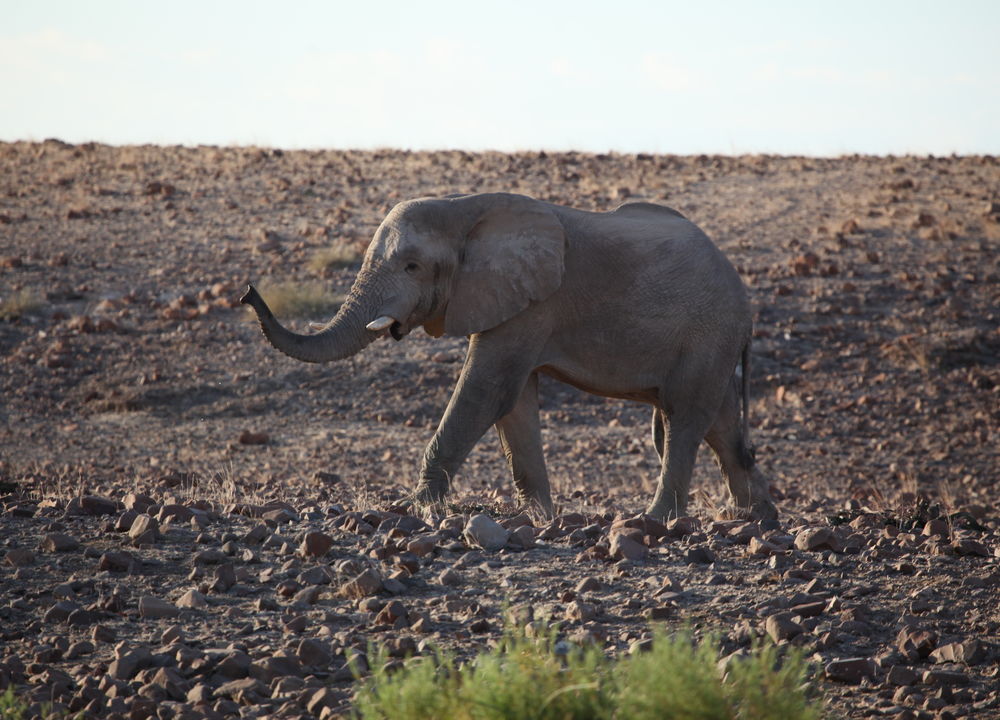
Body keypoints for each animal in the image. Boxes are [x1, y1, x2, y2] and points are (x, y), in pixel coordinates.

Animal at [241, 192, 779, 524]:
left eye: (412, 266)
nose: (247, 292)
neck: (463, 207)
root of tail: (743, 297)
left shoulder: (534, 301)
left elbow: (486, 390)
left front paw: (414, 509)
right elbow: (513, 403)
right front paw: (540, 517)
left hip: (708, 333)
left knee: (684, 418)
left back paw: (656, 520)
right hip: (713, 342)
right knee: (721, 426)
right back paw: (756, 518)